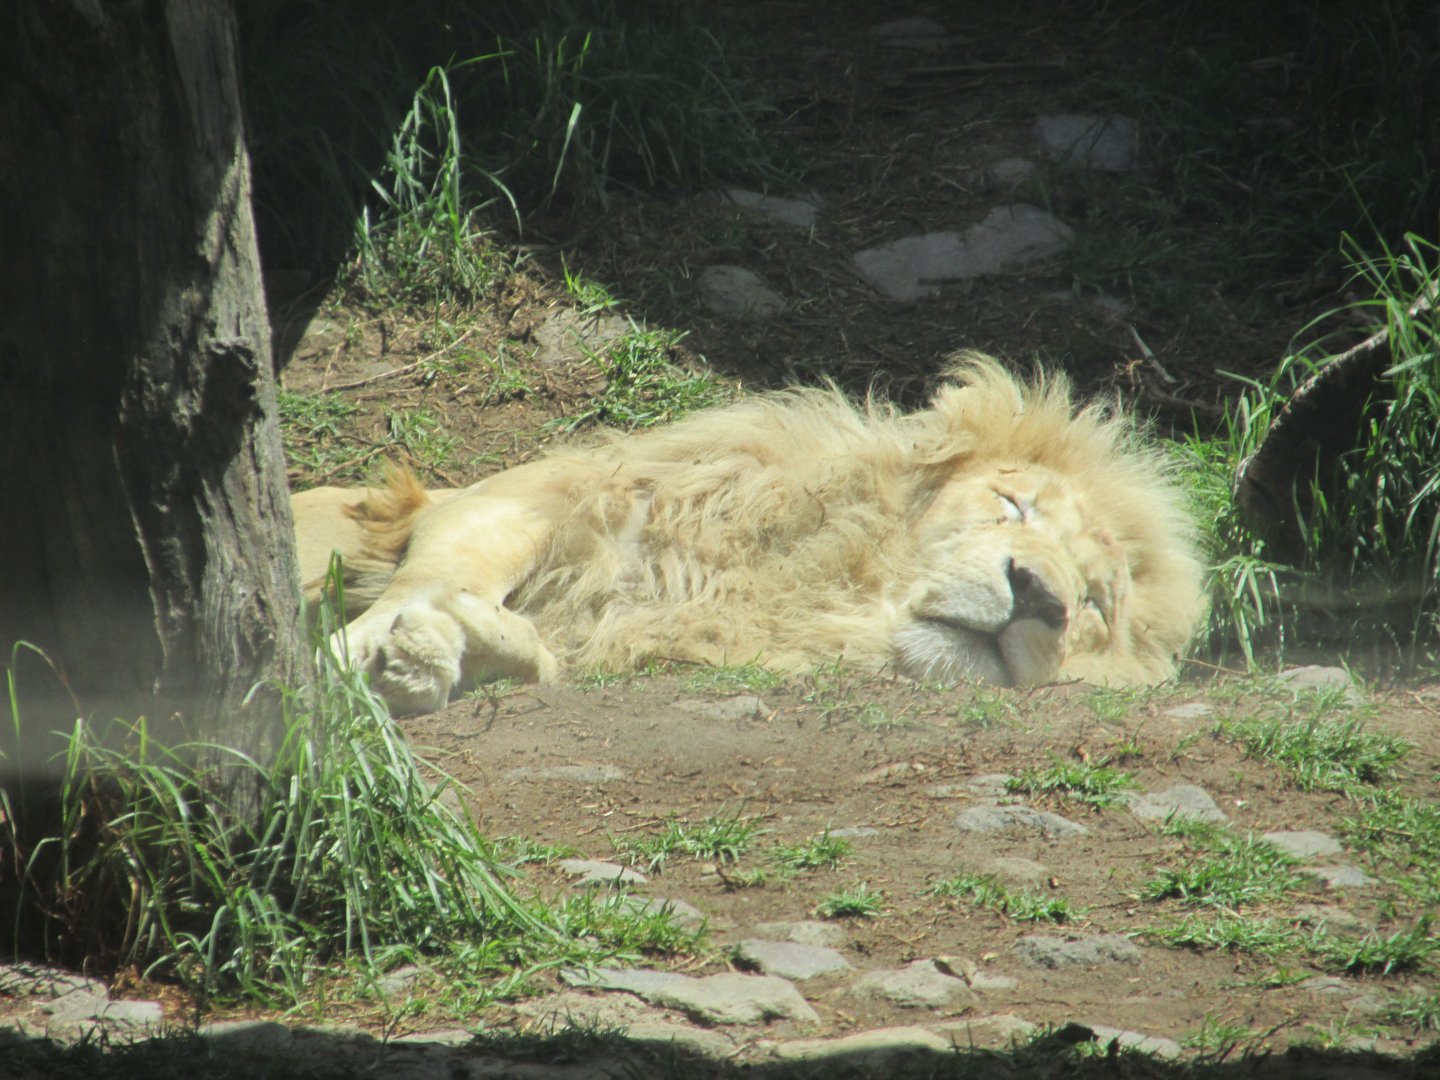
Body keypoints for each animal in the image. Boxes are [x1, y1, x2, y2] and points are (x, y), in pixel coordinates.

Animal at [291, 357, 1206, 714]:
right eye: (1014, 506)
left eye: (1095, 602)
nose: (1040, 594)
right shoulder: (508, 499)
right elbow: (438, 574)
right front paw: (354, 656)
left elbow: (539, 657)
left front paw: (434, 657)